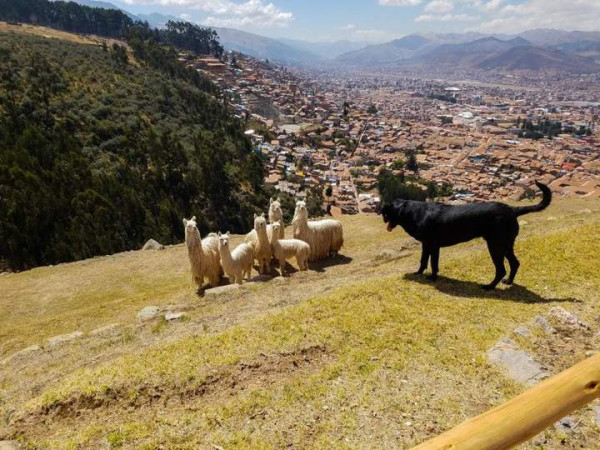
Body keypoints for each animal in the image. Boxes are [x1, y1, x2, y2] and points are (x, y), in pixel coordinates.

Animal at [382, 181, 552, 290]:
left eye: (385, 213)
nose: (383, 219)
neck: (414, 213)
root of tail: (512, 209)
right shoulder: (427, 244)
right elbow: (423, 260)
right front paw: (418, 273)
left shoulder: (433, 244)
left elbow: (433, 263)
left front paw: (432, 278)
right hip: (506, 245)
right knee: (515, 263)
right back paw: (509, 282)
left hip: (495, 246)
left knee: (501, 269)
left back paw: (489, 287)